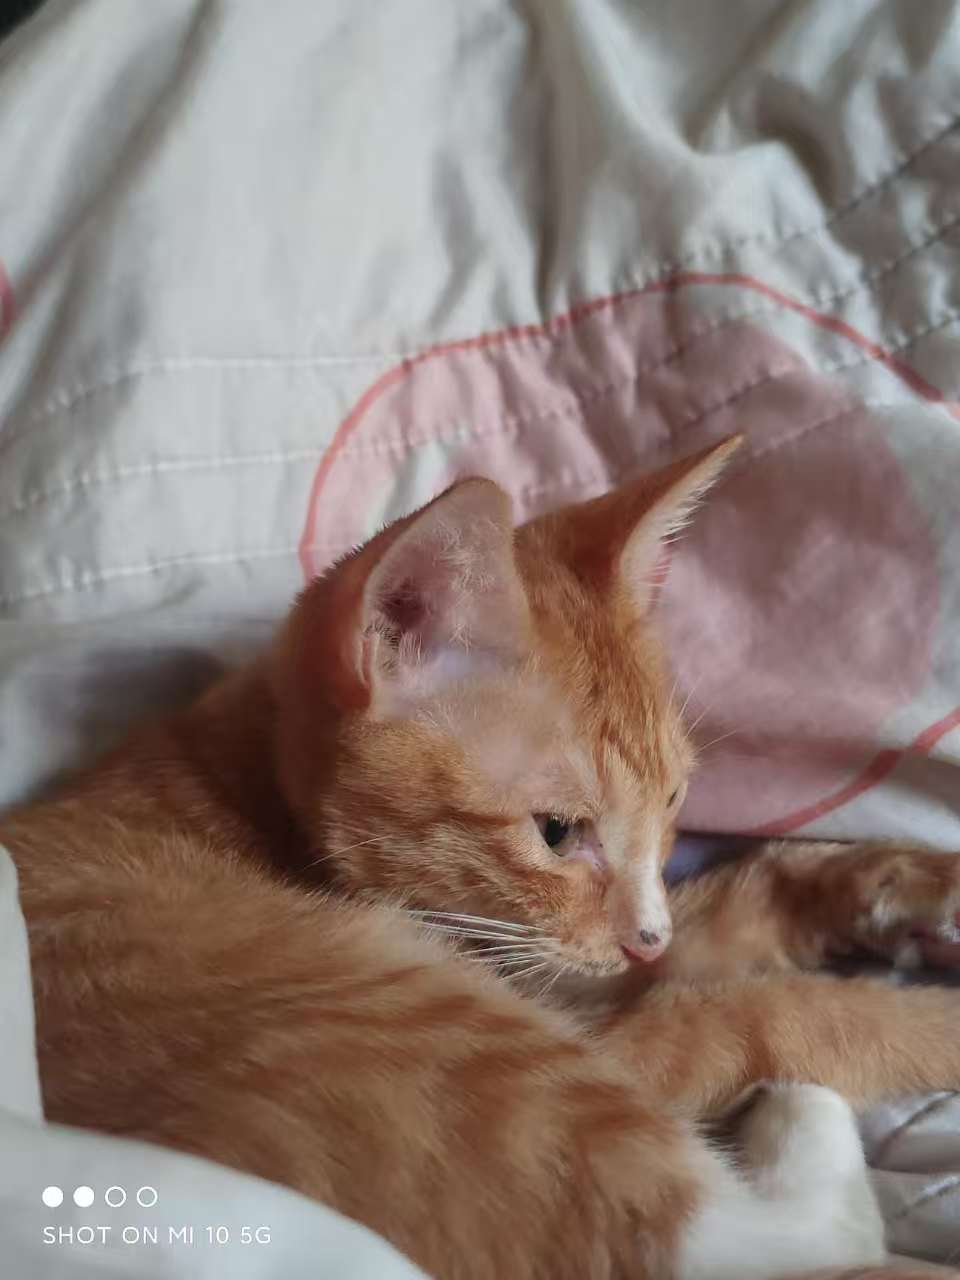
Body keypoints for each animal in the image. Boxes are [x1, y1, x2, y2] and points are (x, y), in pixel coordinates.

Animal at [3, 437, 960, 1279]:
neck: (241, 788)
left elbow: (733, 903)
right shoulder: (595, 1028)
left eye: (673, 801)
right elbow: (770, 1013)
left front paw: (907, 893)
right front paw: (921, 1019)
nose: (642, 941)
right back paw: (802, 1115)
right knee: (755, 1237)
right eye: (557, 831)